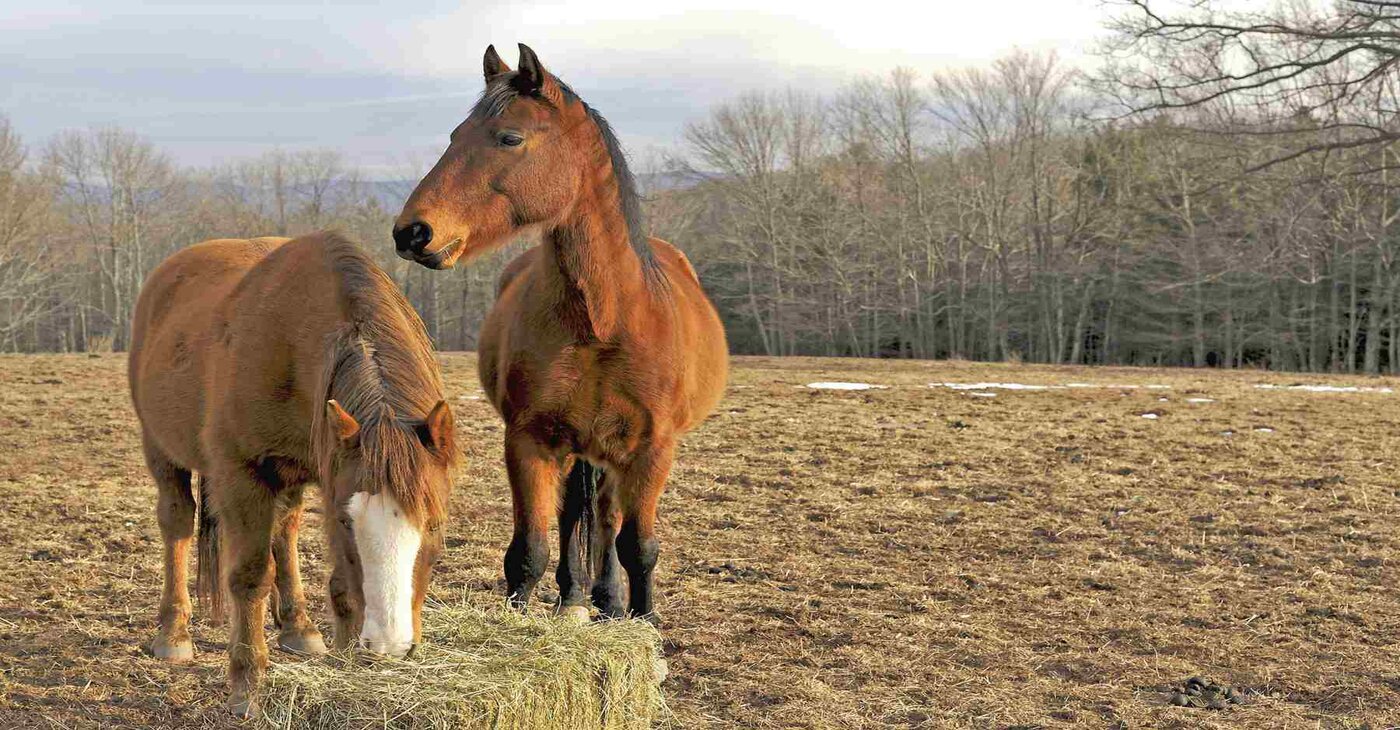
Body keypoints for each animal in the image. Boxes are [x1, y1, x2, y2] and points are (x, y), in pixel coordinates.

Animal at [129, 231, 456, 714]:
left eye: (434, 524)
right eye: (346, 522)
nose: (390, 645)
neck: (295, 342)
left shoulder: (328, 469)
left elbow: (339, 581)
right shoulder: (243, 476)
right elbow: (250, 577)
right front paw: (247, 685)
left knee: (285, 531)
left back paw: (298, 628)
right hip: (162, 452)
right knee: (178, 523)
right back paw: (173, 632)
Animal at [392, 44, 728, 619]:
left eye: (510, 137)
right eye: (455, 135)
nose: (412, 231)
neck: (602, 322)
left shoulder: (651, 450)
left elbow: (638, 546)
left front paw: (643, 619)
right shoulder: (529, 440)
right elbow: (529, 549)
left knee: (608, 519)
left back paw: (607, 600)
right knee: (577, 513)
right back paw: (575, 595)